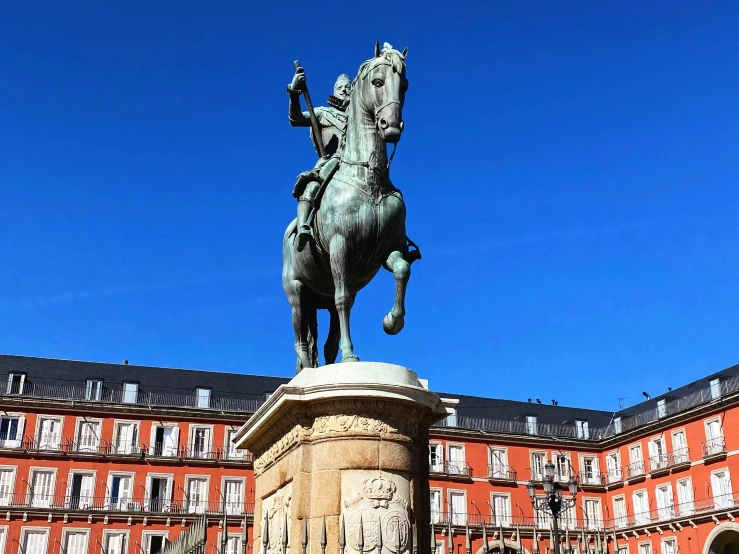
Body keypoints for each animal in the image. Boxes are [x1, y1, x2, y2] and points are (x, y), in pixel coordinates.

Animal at [280, 43, 416, 368]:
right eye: (377, 82)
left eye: (404, 85)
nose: (391, 126)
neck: (371, 179)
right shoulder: (340, 247)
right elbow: (343, 299)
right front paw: (352, 357)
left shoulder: (387, 250)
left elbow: (403, 269)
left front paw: (392, 321)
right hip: (297, 292)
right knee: (301, 336)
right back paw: (307, 368)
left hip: (322, 296)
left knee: (326, 338)